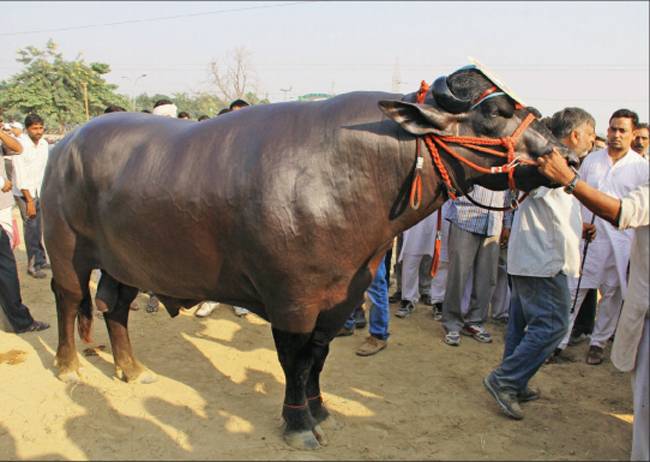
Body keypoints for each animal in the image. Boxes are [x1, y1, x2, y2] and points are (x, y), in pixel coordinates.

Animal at [41, 65, 577, 450]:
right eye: (495, 113)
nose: (566, 159)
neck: (349, 178)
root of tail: (67, 141)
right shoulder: (292, 301)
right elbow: (294, 361)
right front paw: (298, 423)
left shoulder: (342, 298)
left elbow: (317, 359)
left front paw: (321, 412)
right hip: (65, 247)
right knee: (68, 299)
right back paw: (68, 365)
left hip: (128, 260)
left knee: (115, 306)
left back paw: (132, 368)